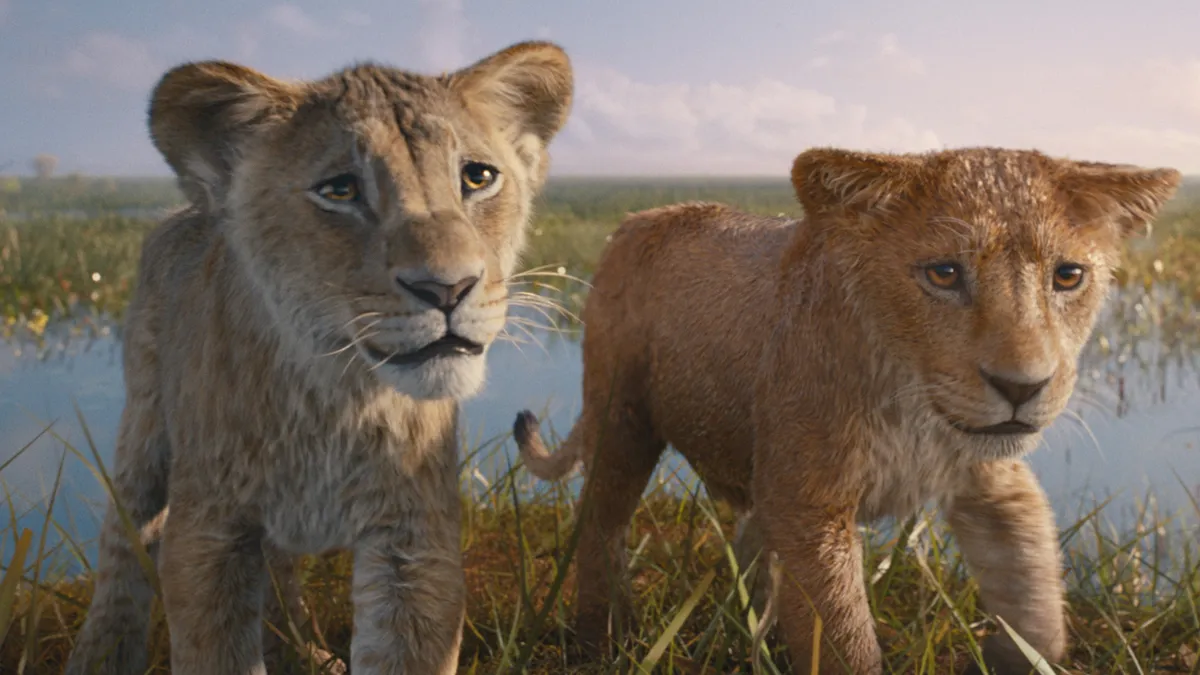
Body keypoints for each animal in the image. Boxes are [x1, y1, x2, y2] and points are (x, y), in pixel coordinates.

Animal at [64, 41, 573, 675]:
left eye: (477, 177)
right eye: (340, 190)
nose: (449, 289)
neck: (335, 395)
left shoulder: (413, 541)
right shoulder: (208, 534)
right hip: (144, 424)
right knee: (123, 536)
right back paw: (100, 654)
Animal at [514, 146, 1180, 674]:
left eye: (1068, 276)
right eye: (944, 274)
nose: (1022, 387)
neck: (914, 408)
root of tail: (638, 218)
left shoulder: (992, 481)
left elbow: (1035, 590)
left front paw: (1013, 655)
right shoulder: (812, 505)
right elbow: (844, 639)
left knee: (752, 544)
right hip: (621, 417)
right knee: (601, 525)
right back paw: (601, 641)